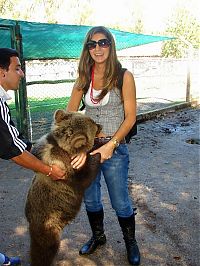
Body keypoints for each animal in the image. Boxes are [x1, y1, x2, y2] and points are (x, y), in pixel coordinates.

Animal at [25, 108, 101, 266]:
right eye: (93, 124)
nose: (100, 125)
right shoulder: (68, 171)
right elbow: (85, 176)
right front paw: (96, 153)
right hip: (48, 223)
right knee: (45, 248)